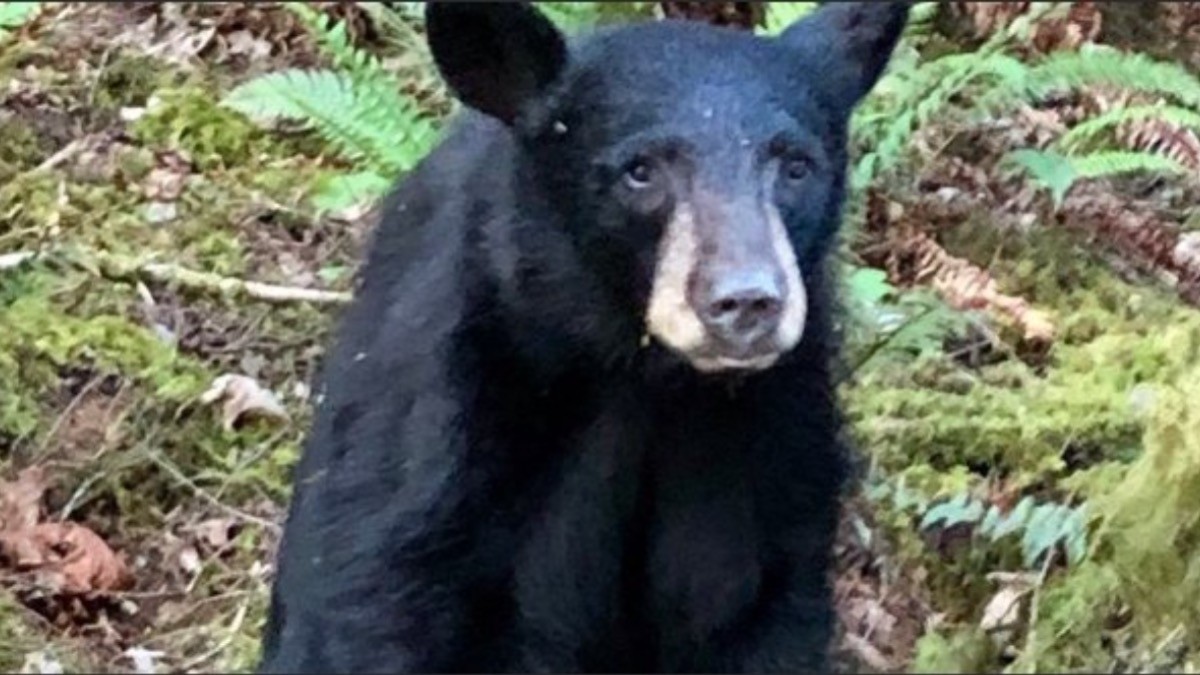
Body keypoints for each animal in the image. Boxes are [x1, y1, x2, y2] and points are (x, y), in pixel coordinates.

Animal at [259, 2, 908, 673]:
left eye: (796, 166)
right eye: (640, 171)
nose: (747, 301)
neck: (642, 374)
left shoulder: (775, 442)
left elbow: (753, 606)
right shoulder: (446, 422)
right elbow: (379, 597)